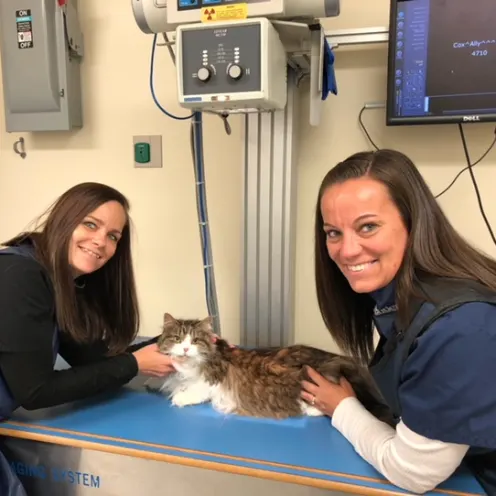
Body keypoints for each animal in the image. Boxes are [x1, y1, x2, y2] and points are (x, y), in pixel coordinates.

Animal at [145, 314, 394, 422]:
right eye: (178, 339)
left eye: (195, 341)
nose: (186, 349)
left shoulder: (213, 380)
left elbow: (194, 390)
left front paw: (179, 397)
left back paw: (312, 409)